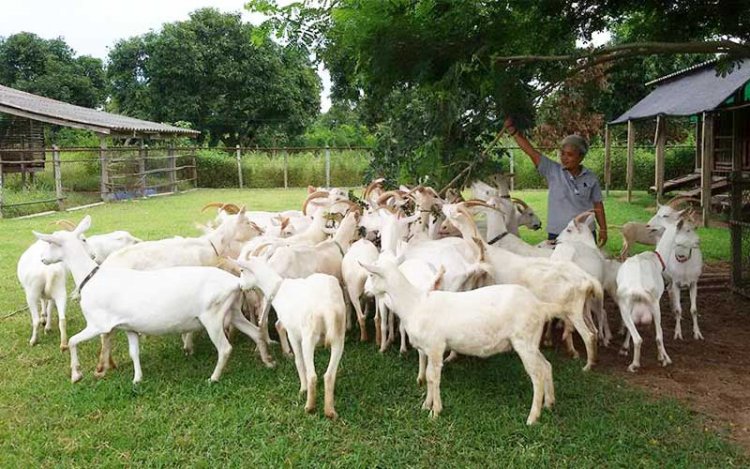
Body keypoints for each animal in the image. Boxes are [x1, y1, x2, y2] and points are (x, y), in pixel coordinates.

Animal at [34, 216, 276, 384]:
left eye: (51, 243)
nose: (43, 259)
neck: (91, 276)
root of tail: (234, 283)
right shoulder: (128, 326)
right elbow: (133, 352)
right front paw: (137, 378)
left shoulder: (97, 324)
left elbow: (73, 340)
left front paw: (76, 374)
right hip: (232, 311)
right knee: (255, 332)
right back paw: (268, 361)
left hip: (213, 317)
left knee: (225, 348)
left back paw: (214, 377)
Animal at [362, 256, 560, 424]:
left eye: (371, 274)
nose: (364, 291)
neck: (414, 304)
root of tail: (541, 306)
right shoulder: (428, 349)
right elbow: (428, 376)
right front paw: (426, 405)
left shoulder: (436, 346)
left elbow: (433, 377)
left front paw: (435, 411)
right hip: (531, 342)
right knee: (546, 365)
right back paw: (549, 403)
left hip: (524, 340)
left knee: (537, 375)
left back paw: (532, 417)